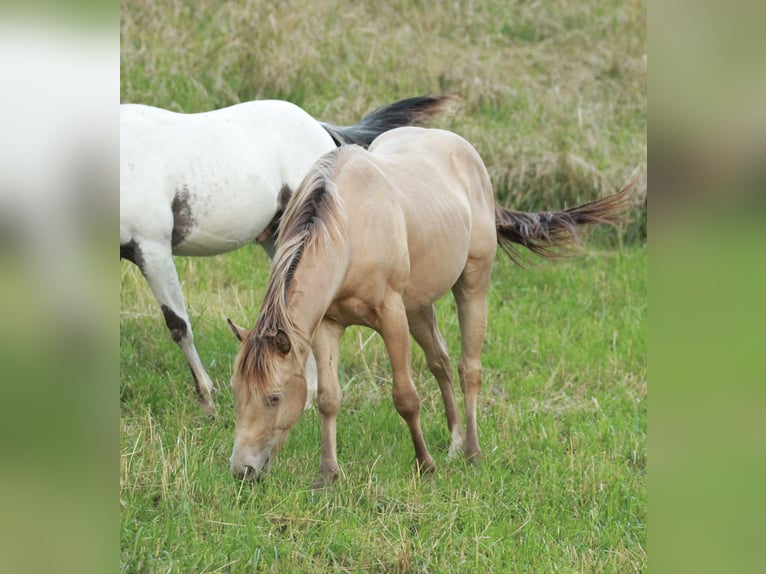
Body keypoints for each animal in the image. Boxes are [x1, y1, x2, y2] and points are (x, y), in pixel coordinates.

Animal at [228, 126, 636, 486]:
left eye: (274, 397)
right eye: (236, 392)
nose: (242, 470)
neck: (348, 228)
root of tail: (463, 150)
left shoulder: (391, 317)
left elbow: (406, 397)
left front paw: (425, 465)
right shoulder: (328, 325)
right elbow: (329, 399)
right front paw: (327, 474)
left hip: (471, 285)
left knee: (469, 368)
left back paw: (471, 451)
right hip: (419, 305)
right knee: (440, 361)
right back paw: (454, 440)